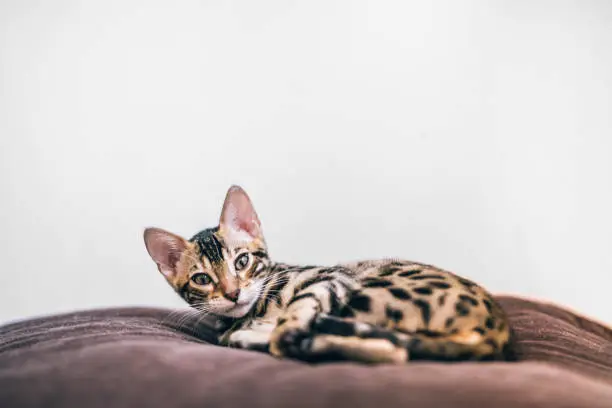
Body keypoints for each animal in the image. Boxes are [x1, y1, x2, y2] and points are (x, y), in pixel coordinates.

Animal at [143, 186, 512, 364]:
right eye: (202, 279)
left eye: (242, 261)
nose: (233, 294)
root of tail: (496, 328)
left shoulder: (332, 277)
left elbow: (291, 318)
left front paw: (282, 331)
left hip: (370, 291)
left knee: (395, 351)